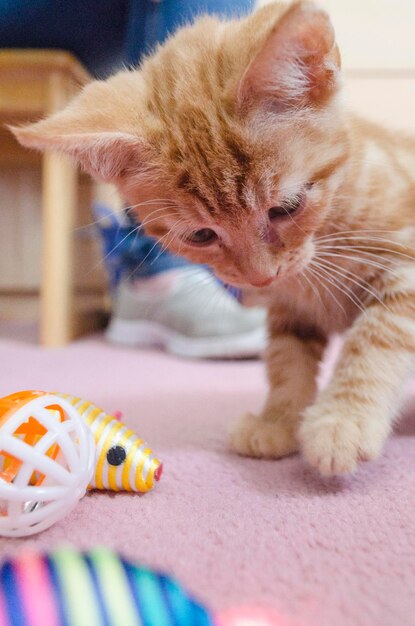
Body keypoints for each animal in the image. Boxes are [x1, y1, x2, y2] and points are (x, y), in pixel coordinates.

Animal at [11, 2, 415, 476]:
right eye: (202, 235)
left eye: (287, 207)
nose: (260, 279)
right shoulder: (288, 308)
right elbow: (286, 361)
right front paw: (277, 419)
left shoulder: (407, 268)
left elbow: (377, 339)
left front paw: (343, 419)